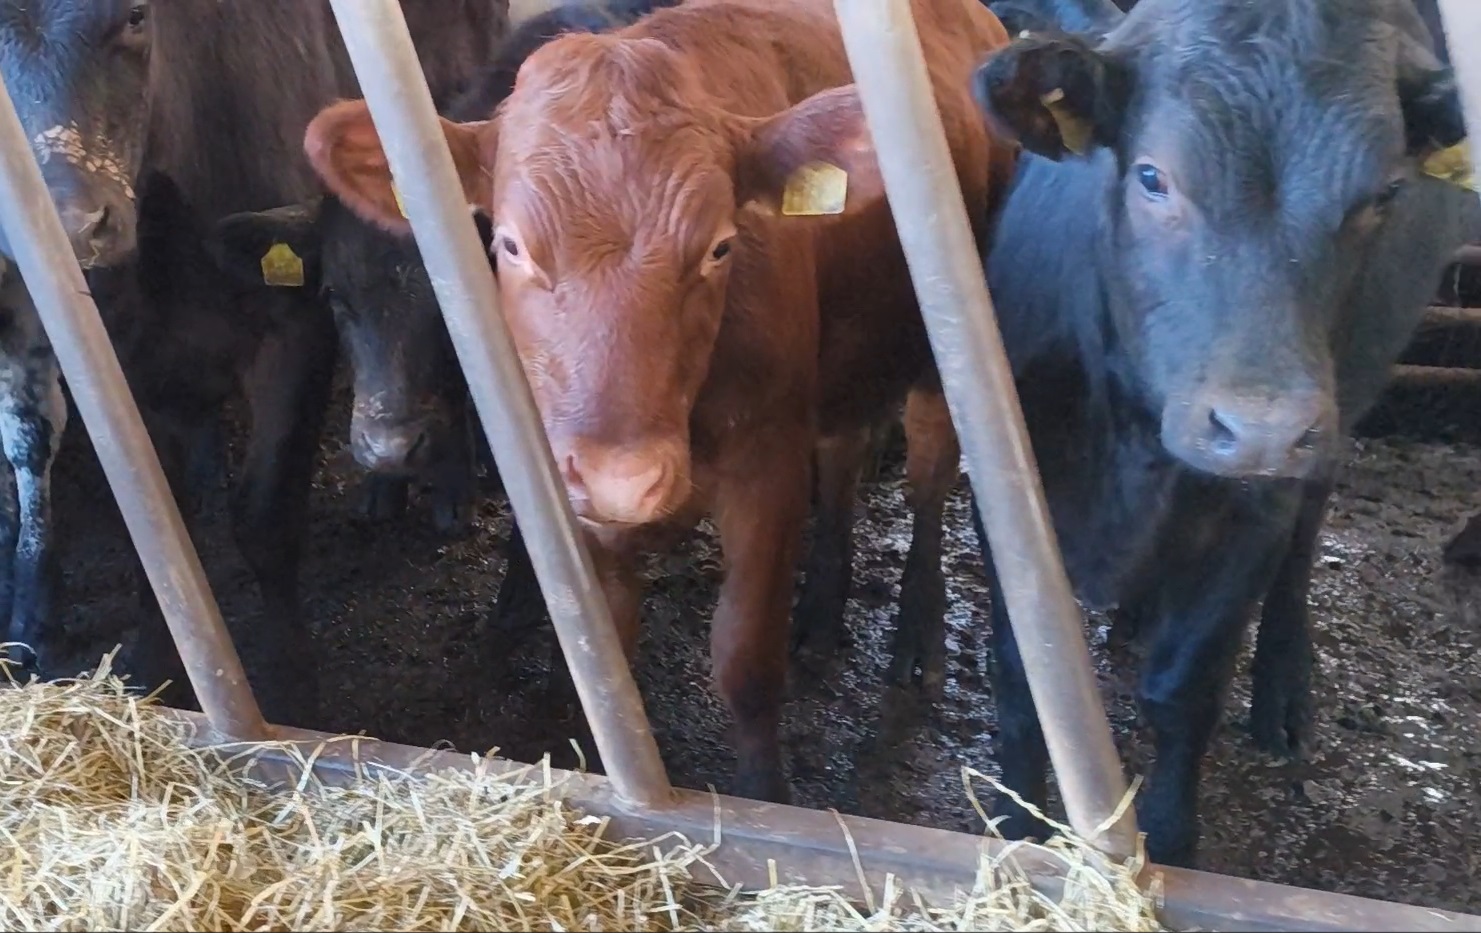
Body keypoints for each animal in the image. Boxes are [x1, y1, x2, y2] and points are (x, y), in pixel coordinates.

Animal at [0, 0, 510, 723]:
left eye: (135, 15)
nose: (71, 231)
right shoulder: (118, 356)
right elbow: (156, 519)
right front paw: (154, 668)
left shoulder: (296, 331)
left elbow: (266, 516)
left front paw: (290, 687)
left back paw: (455, 488)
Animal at [302, 0, 1017, 801]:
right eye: (511, 245)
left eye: (720, 246)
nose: (624, 477)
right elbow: (605, 648)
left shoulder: (766, 467)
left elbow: (745, 659)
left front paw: (764, 794)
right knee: (842, 454)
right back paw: (822, 608)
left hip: (943, 344)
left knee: (930, 476)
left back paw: (917, 633)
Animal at [961, 0, 1473, 867]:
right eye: (1151, 176)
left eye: (1382, 193)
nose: (1263, 428)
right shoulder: (1008, 484)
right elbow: (1023, 676)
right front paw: (1017, 831)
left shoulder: (1248, 516)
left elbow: (1183, 688)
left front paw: (1168, 838)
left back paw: (1282, 689)